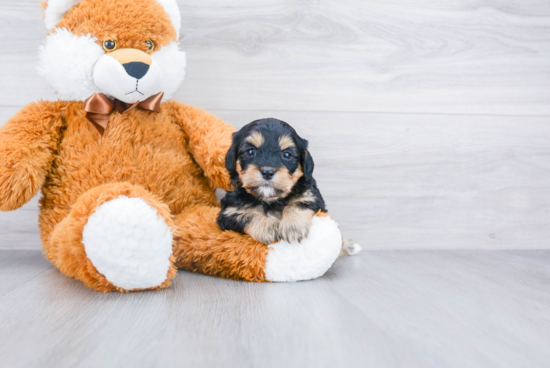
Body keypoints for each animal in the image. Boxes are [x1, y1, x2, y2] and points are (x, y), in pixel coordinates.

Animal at [219, 118, 362, 256]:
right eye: (250, 152)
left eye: (287, 155)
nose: (267, 172)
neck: (271, 200)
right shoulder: (228, 212)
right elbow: (247, 214)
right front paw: (268, 227)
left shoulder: (312, 196)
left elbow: (298, 203)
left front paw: (292, 227)